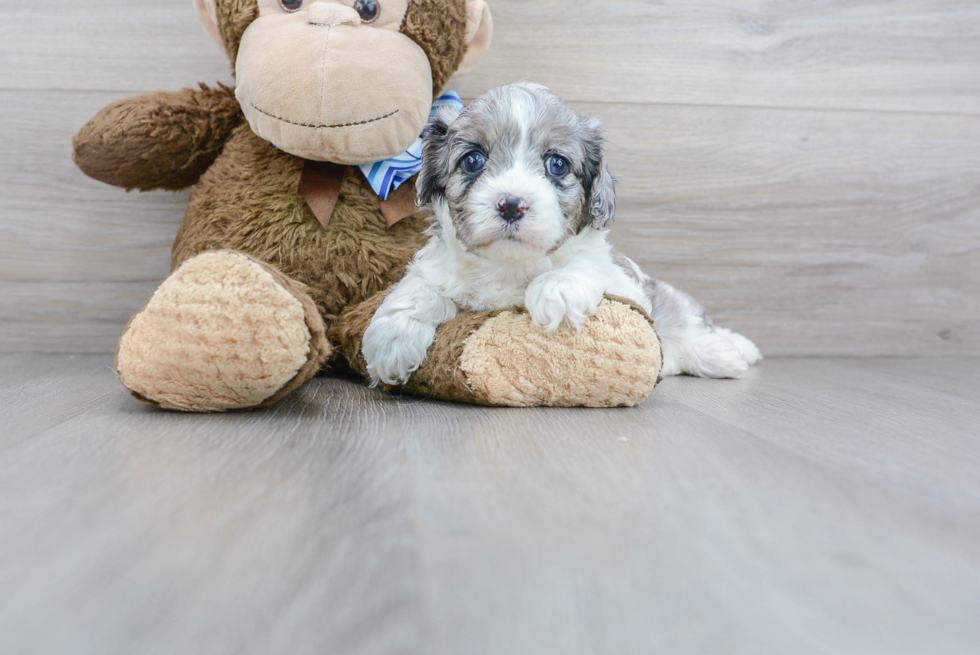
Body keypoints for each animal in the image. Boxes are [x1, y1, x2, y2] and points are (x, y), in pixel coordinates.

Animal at [364, 82, 760, 390]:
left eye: (557, 164)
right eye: (473, 160)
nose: (511, 204)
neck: (510, 266)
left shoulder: (625, 283)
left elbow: (586, 263)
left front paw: (557, 289)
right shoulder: (438, 266)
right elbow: (419, 286)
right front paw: (393, 338)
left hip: (674, 307)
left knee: (690, 329)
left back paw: (729, 350)